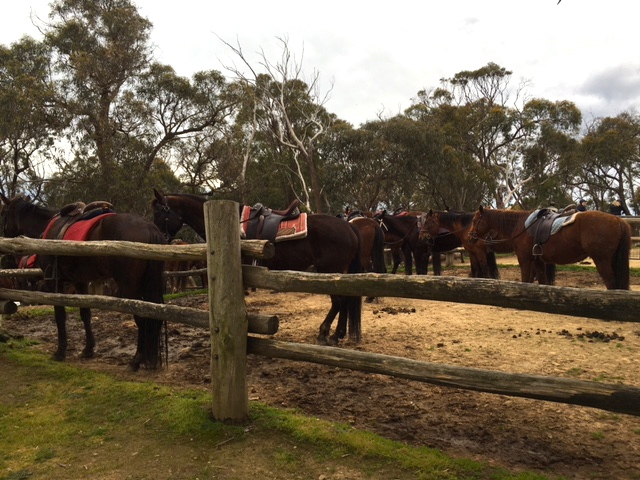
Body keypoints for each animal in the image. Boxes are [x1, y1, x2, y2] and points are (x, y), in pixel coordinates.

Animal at [0, 193, 165, 370]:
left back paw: (136, 359)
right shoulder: (80, 282)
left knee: (142, 316)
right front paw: (88, 349)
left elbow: (60, 315)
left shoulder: (54, 282)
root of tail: (149, 228)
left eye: (3, 213)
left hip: (130, 287)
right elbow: (85, 314)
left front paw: (60, 351)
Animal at [149, 189, 360, 344]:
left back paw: (325, 333)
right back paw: (338, 334)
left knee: (338, 301)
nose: (159, 236)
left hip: (330, 270)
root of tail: (348, 227)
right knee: (344, 300)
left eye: (159, 212)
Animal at [468, 206, 628, 288]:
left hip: (602, 260)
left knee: (611, 282)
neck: (521, 225)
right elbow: (542, 282)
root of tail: (618, 220)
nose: (470, 236)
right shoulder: (538, 261)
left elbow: (525, 280)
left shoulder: (525, 260)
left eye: (475, 220)